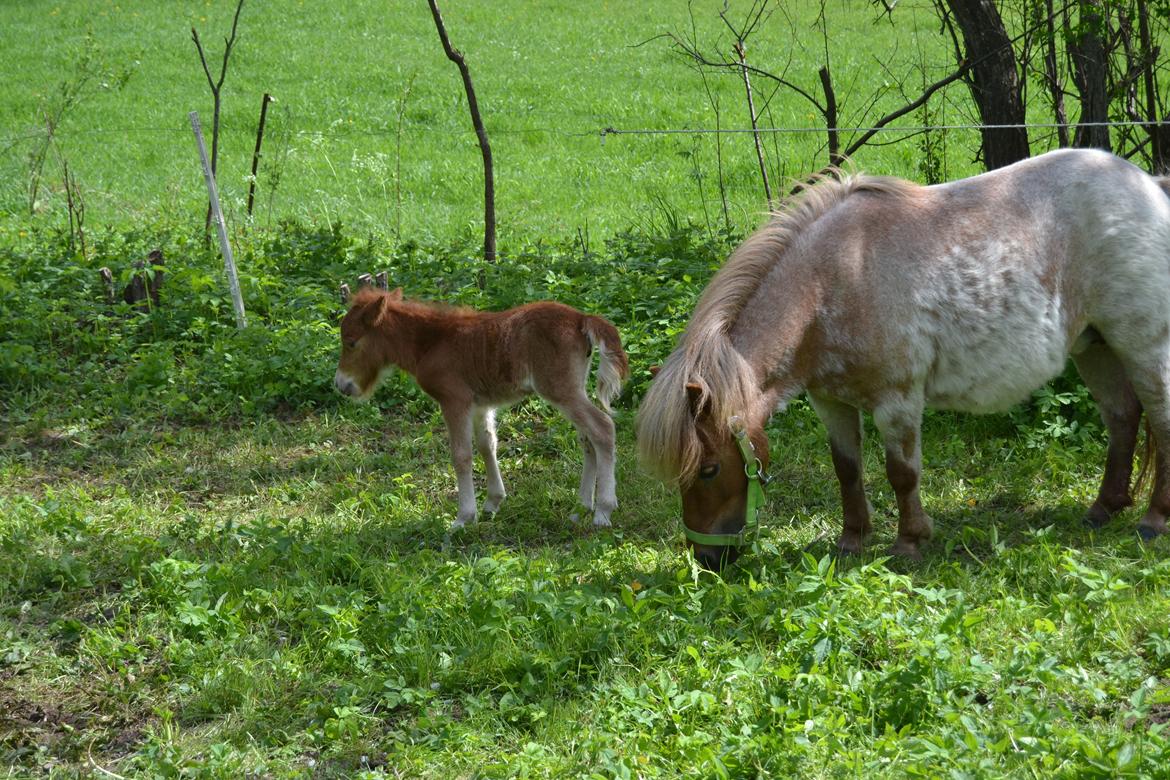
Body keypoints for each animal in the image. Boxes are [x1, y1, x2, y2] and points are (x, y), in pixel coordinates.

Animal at [336, 288, 631, 530]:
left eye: (351, 341)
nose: (340, 384)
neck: (432, 342)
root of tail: (582, 318)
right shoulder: (480, 404)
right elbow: (487, 445)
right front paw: (493, 503)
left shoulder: (454, 400)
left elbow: (462, 455)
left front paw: (463, 518)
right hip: (574, 388)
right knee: (587, 438)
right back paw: (581, 507)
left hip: (560, 390)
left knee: (603, 428)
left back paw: (603, 512)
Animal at [636, 149, 1170, 570]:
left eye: (708, 470)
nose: (708, 558)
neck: (831, 285)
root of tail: (1150, 187)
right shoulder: (831, 403)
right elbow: (846, 469)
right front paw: (852, 540)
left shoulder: (897, 402)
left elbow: (902, 473)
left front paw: (910, 542)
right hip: (1095, 347)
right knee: (1123, 417)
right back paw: (1103, 508)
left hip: (1142, 345)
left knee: (1160, 422)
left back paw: (1153, 520)